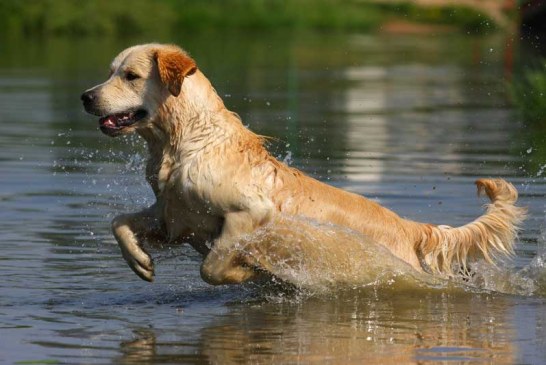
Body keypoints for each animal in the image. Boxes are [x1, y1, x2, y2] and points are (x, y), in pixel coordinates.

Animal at [79, 44, 524, 284]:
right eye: (111, 72)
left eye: (131, 75)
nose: (86, 96)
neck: (184, 142)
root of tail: (411, 227)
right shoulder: (172, 216)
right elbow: (119, 222)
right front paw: (140, 263)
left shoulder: (248, 213)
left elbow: (212, 265)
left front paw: (245, 272)